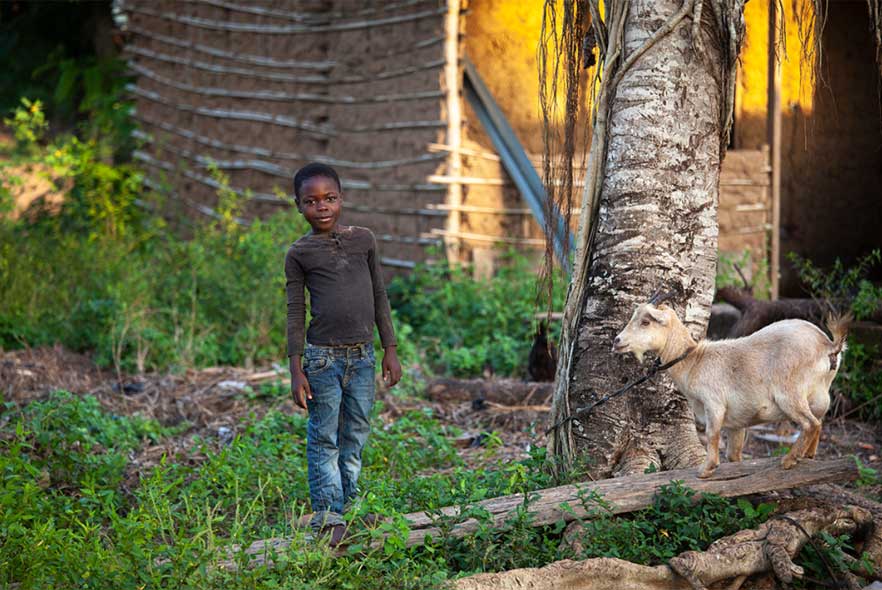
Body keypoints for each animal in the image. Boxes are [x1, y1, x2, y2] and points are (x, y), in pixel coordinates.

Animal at [612, 296, 844, 480]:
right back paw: (808, 455)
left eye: (645, 321)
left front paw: (706, 469)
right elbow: (734, 454)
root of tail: (829, 346)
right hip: (819, 395)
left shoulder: (713, 403)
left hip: (789, 393)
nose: (617, 341)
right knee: (819, 421)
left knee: (810, 423)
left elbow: (712, 434)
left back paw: (789, 460)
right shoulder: (737, 422)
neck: (695, 361)